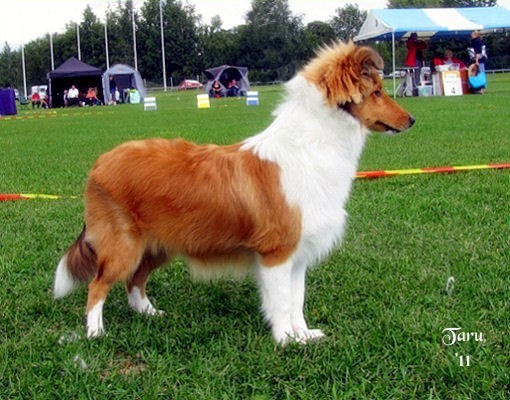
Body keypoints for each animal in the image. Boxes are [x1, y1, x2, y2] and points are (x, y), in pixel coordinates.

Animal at [54, 42, 414, 344]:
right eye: (377, 92)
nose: (411, 120)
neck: (311, 146)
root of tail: (100, 163)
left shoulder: (297, 255)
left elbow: (296, 300)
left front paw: (303, 335)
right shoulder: (276, 253)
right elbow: (282, 302)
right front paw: (285, 340)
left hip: (155, 246)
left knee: (134, 281)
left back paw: (149, 313)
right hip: (124, 245)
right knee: (97, 286)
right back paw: (96, 333)